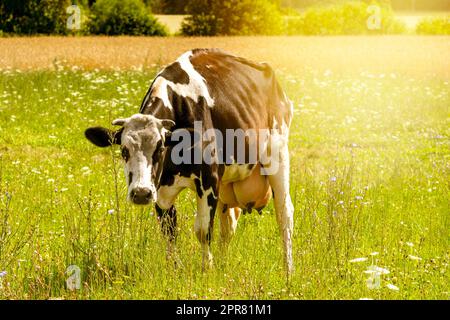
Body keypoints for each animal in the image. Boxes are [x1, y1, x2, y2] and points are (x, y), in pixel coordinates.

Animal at [85, 48, 296, 274]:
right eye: (124, 150)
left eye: (160, 148)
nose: (141, 193)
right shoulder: (161, 188)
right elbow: (169, 230)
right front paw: (176, 269)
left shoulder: (209, 179)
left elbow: (203, 230)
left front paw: (207, 270)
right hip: (228, 181)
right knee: (228, 225)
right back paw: (223, 266)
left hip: (278, 155)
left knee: (284, 215)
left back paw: (288, 270)